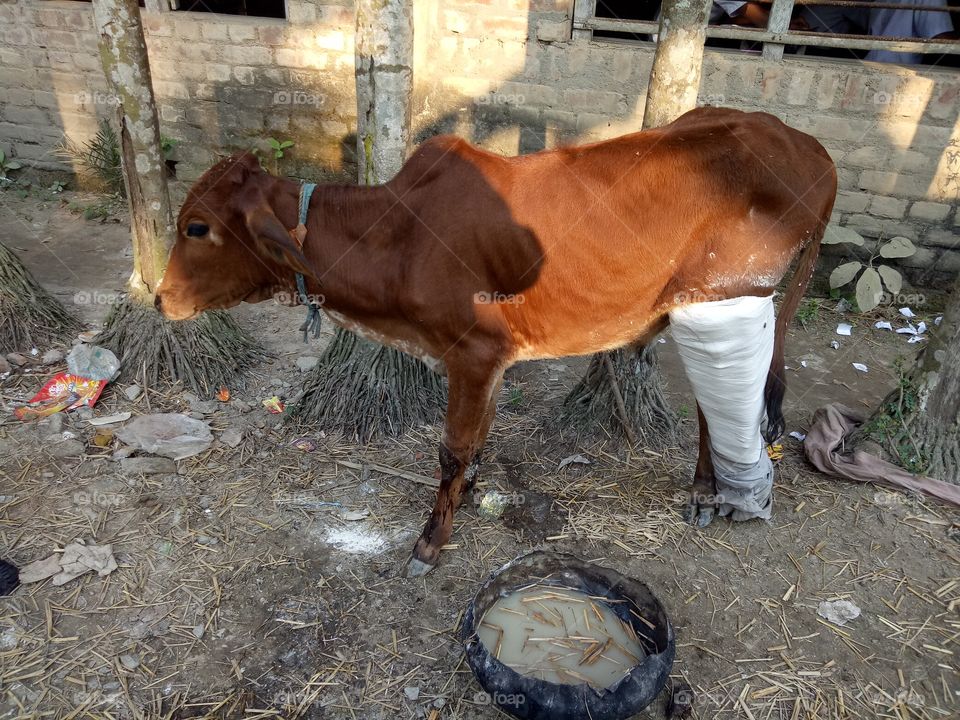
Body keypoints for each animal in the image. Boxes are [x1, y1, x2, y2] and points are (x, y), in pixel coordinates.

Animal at [155, 107, 837, 576]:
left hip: (726, 298)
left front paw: (431, 540)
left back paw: (704, 491)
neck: (397, 238)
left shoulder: (473, 352)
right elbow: (476, 438)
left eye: (197, 227)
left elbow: (451, 448)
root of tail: (810, 148)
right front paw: (472, 491)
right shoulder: (488, 361)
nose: (159, 298)